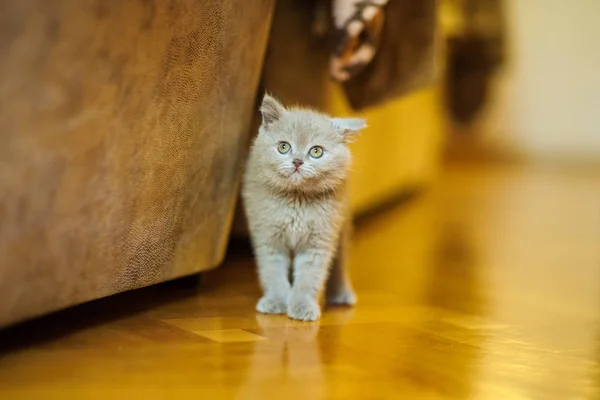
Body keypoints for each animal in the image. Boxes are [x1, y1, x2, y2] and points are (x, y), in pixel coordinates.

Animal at [240, 94, 366, 322]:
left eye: (316, 151)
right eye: (283, 147)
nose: (297, 161)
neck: (296, 200)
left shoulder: (319, 242)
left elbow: (309, 277)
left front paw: (302, 305)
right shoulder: (268, 238)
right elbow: (273, 272)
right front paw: (276, 301)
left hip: (342, 225)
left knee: (340, 261)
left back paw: (341, 294)